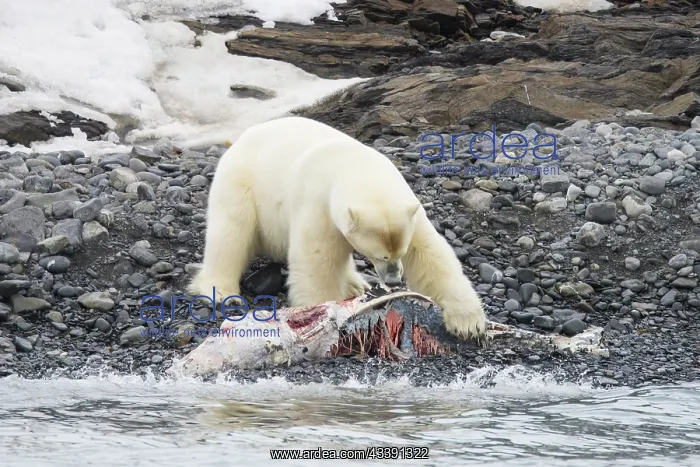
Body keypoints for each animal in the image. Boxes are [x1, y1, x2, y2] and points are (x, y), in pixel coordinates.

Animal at [188, 116, 486, 339]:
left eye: (398, 253)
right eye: (379, 256)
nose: (393, 280)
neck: (355, 166)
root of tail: (239, 140)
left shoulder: (408, 208)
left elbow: (430, 254)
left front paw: (468, 322)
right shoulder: (318, 201)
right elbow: (317, 261)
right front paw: (324, 313)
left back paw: (355, 285)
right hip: (242, 184)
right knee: (231, 234)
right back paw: (222, 292)